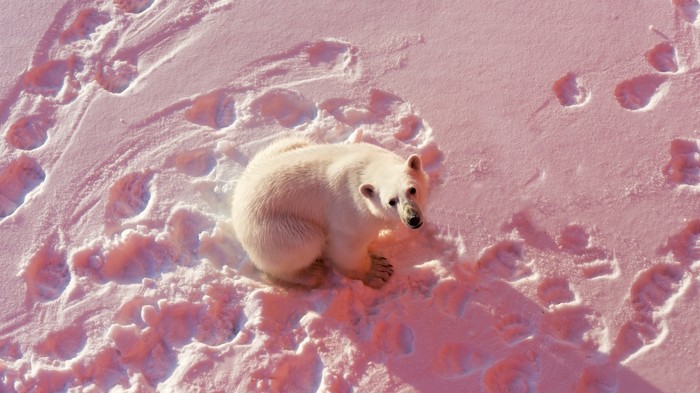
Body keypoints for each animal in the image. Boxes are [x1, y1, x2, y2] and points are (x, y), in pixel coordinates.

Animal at [231, 138, 426, 288]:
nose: (413, 219)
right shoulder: (349, 212)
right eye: (391, 201)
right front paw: (378, 270)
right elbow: (346, 248)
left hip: (276, 151)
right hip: (274, 229)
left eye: (412, 189)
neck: (367, 167)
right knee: (305, 242)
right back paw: (311, 273)